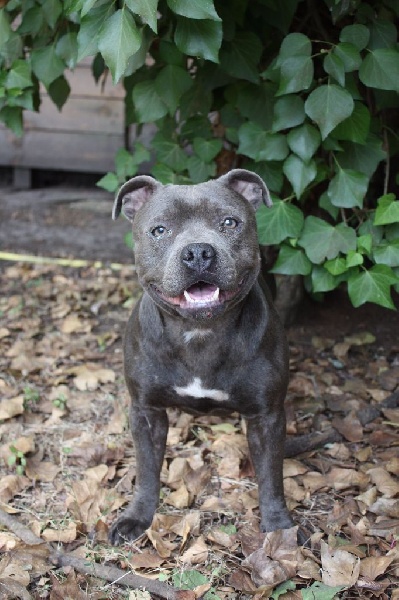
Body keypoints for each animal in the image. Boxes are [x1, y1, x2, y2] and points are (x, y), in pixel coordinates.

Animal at [109, 168, 294, 544]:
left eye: (229, 222)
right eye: (159, 230)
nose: (197, 252)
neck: (199, 333)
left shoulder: (267, 417)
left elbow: (271, 476)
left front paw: (278, 528)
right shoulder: (145, 412)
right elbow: (146, 470)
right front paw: (138, 516)